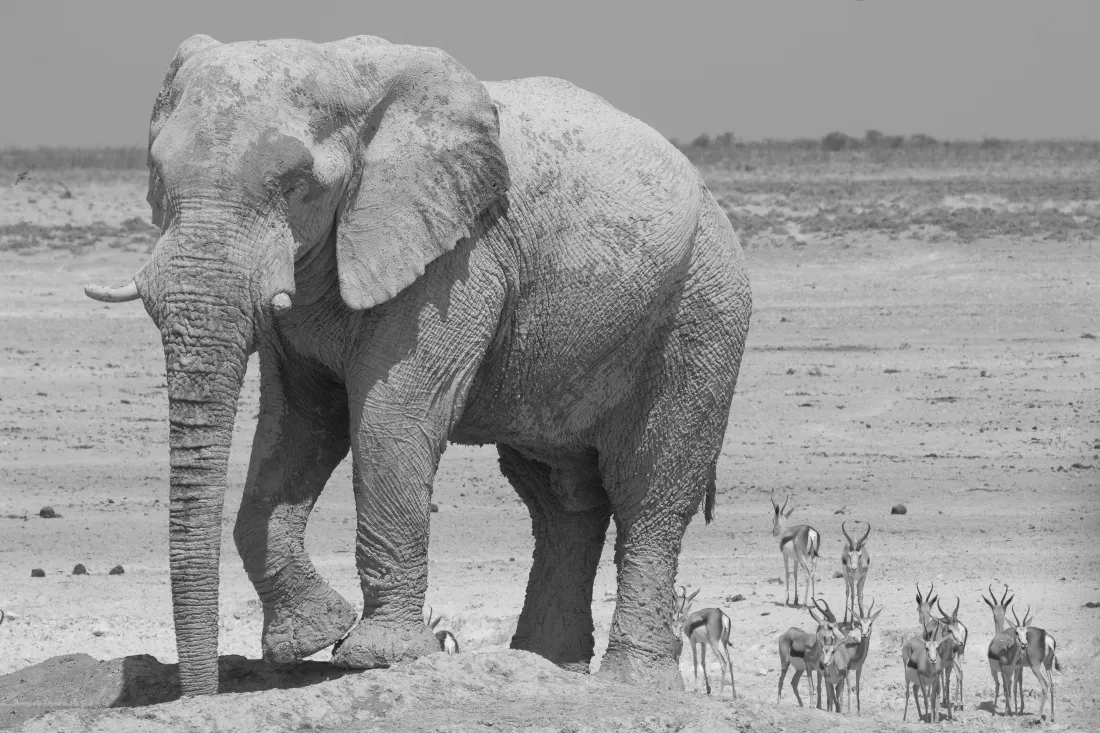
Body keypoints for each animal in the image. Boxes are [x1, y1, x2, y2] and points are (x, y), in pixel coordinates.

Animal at [84, 33, 752, 697]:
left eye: (298, 184)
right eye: (157, 176)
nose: (201, 693)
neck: (344, 71)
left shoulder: (458, 258)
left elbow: (390, 420)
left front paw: (375, 656)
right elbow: (296, 428)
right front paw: (311, 638)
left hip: (703, 311)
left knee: (649, 491)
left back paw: (631, 684)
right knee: (560, 502)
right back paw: (544, 668)